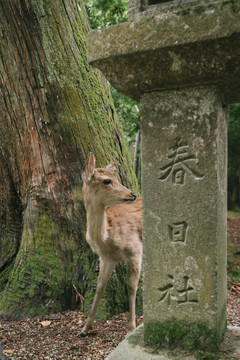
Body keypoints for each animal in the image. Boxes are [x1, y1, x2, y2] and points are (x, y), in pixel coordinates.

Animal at [79, 153, 142, 338]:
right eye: (107, 180)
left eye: (116, 178)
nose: (132, 194)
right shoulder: (106, 258)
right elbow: (99, 287)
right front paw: (84, 329)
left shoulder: (135, 250)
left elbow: (131, 287)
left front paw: (130, 328)